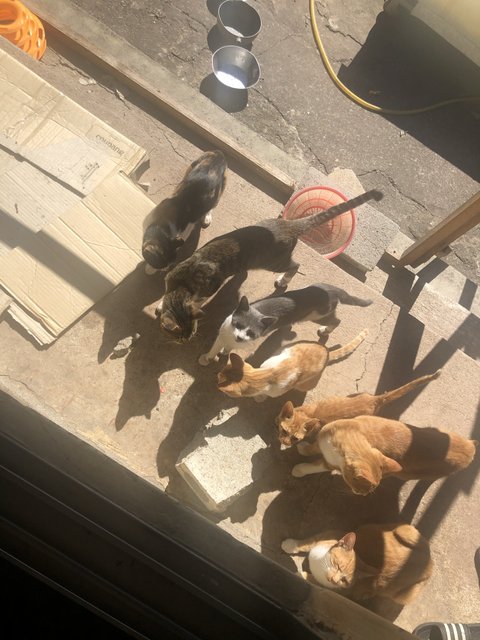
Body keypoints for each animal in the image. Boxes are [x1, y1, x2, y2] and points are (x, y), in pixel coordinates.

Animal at [157, 189, 383, 342]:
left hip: (273, 262)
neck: (184, 284)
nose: (186, 340)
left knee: (295, 265)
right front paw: (160, 304)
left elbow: (197, 302)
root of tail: (290, 224)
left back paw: (284, 281)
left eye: (191, 333)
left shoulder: (207, 289)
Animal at [198, 283, 372, 365]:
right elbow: (216, 348)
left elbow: (228, 349)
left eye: (251, 333)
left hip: (317, 315)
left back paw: (325, 330)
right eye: (238, 324)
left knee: (337, 320)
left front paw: (216, 356)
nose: (240, 338)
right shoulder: (223, 335)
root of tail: (333, 289)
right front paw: (209, 357)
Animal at [281, 522, 433, 605]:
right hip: (400, 529)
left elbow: (312, 580)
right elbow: (308, 542)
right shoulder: (327, 535)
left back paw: (365, 594)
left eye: (345, 580)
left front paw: (300, 574)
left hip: (402, 596)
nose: (334, 580)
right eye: (337, 565)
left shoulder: (339, 591)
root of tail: (430, 564)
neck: (319, 565)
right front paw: (290, 545)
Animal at [290, 415, 477, 494]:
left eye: (370, 489)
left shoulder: (330, 464)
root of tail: (470, 446)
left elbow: (314, 466)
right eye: (362, 486)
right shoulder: (324, 438)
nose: (363, 494)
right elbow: (314, 447)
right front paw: (304, 448)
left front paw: (299, 469)